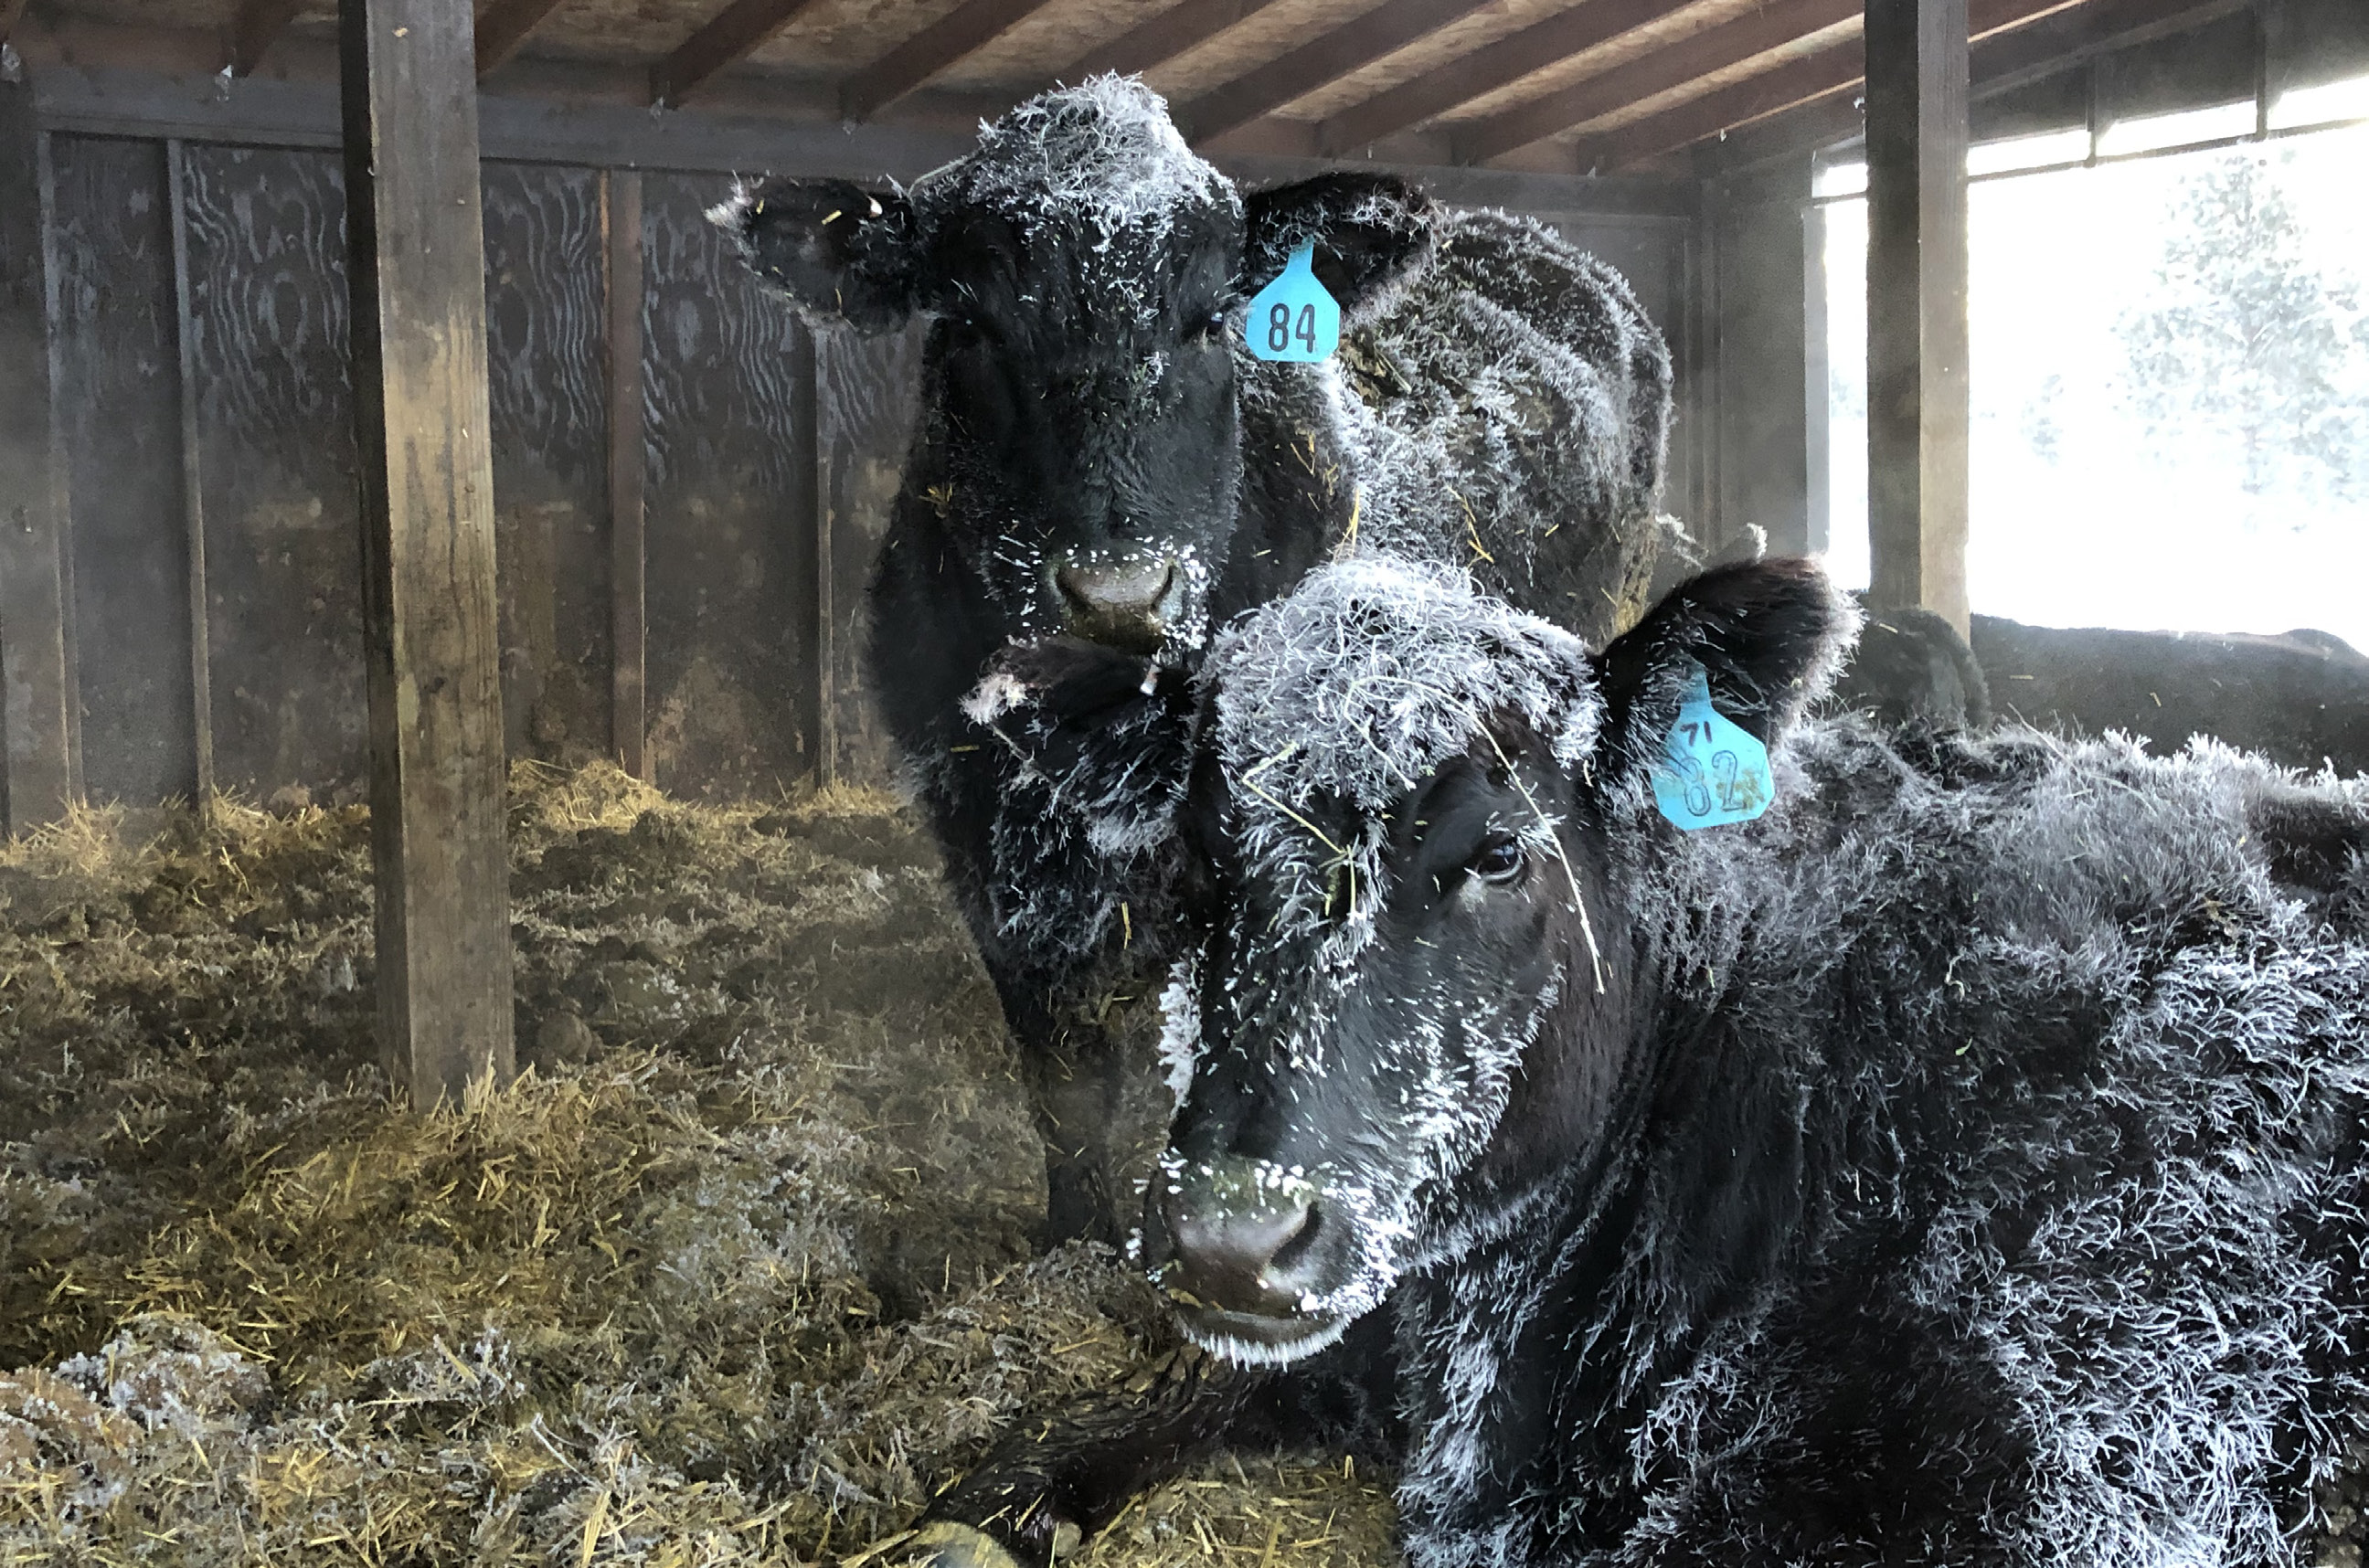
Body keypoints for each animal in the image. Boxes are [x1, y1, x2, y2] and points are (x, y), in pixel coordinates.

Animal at [710, 79, 1677, 1250]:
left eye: (1216, 318)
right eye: (970, 322)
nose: (1121, 593)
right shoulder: (982, 835)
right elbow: (1064, 1078)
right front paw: (1076, 1235)